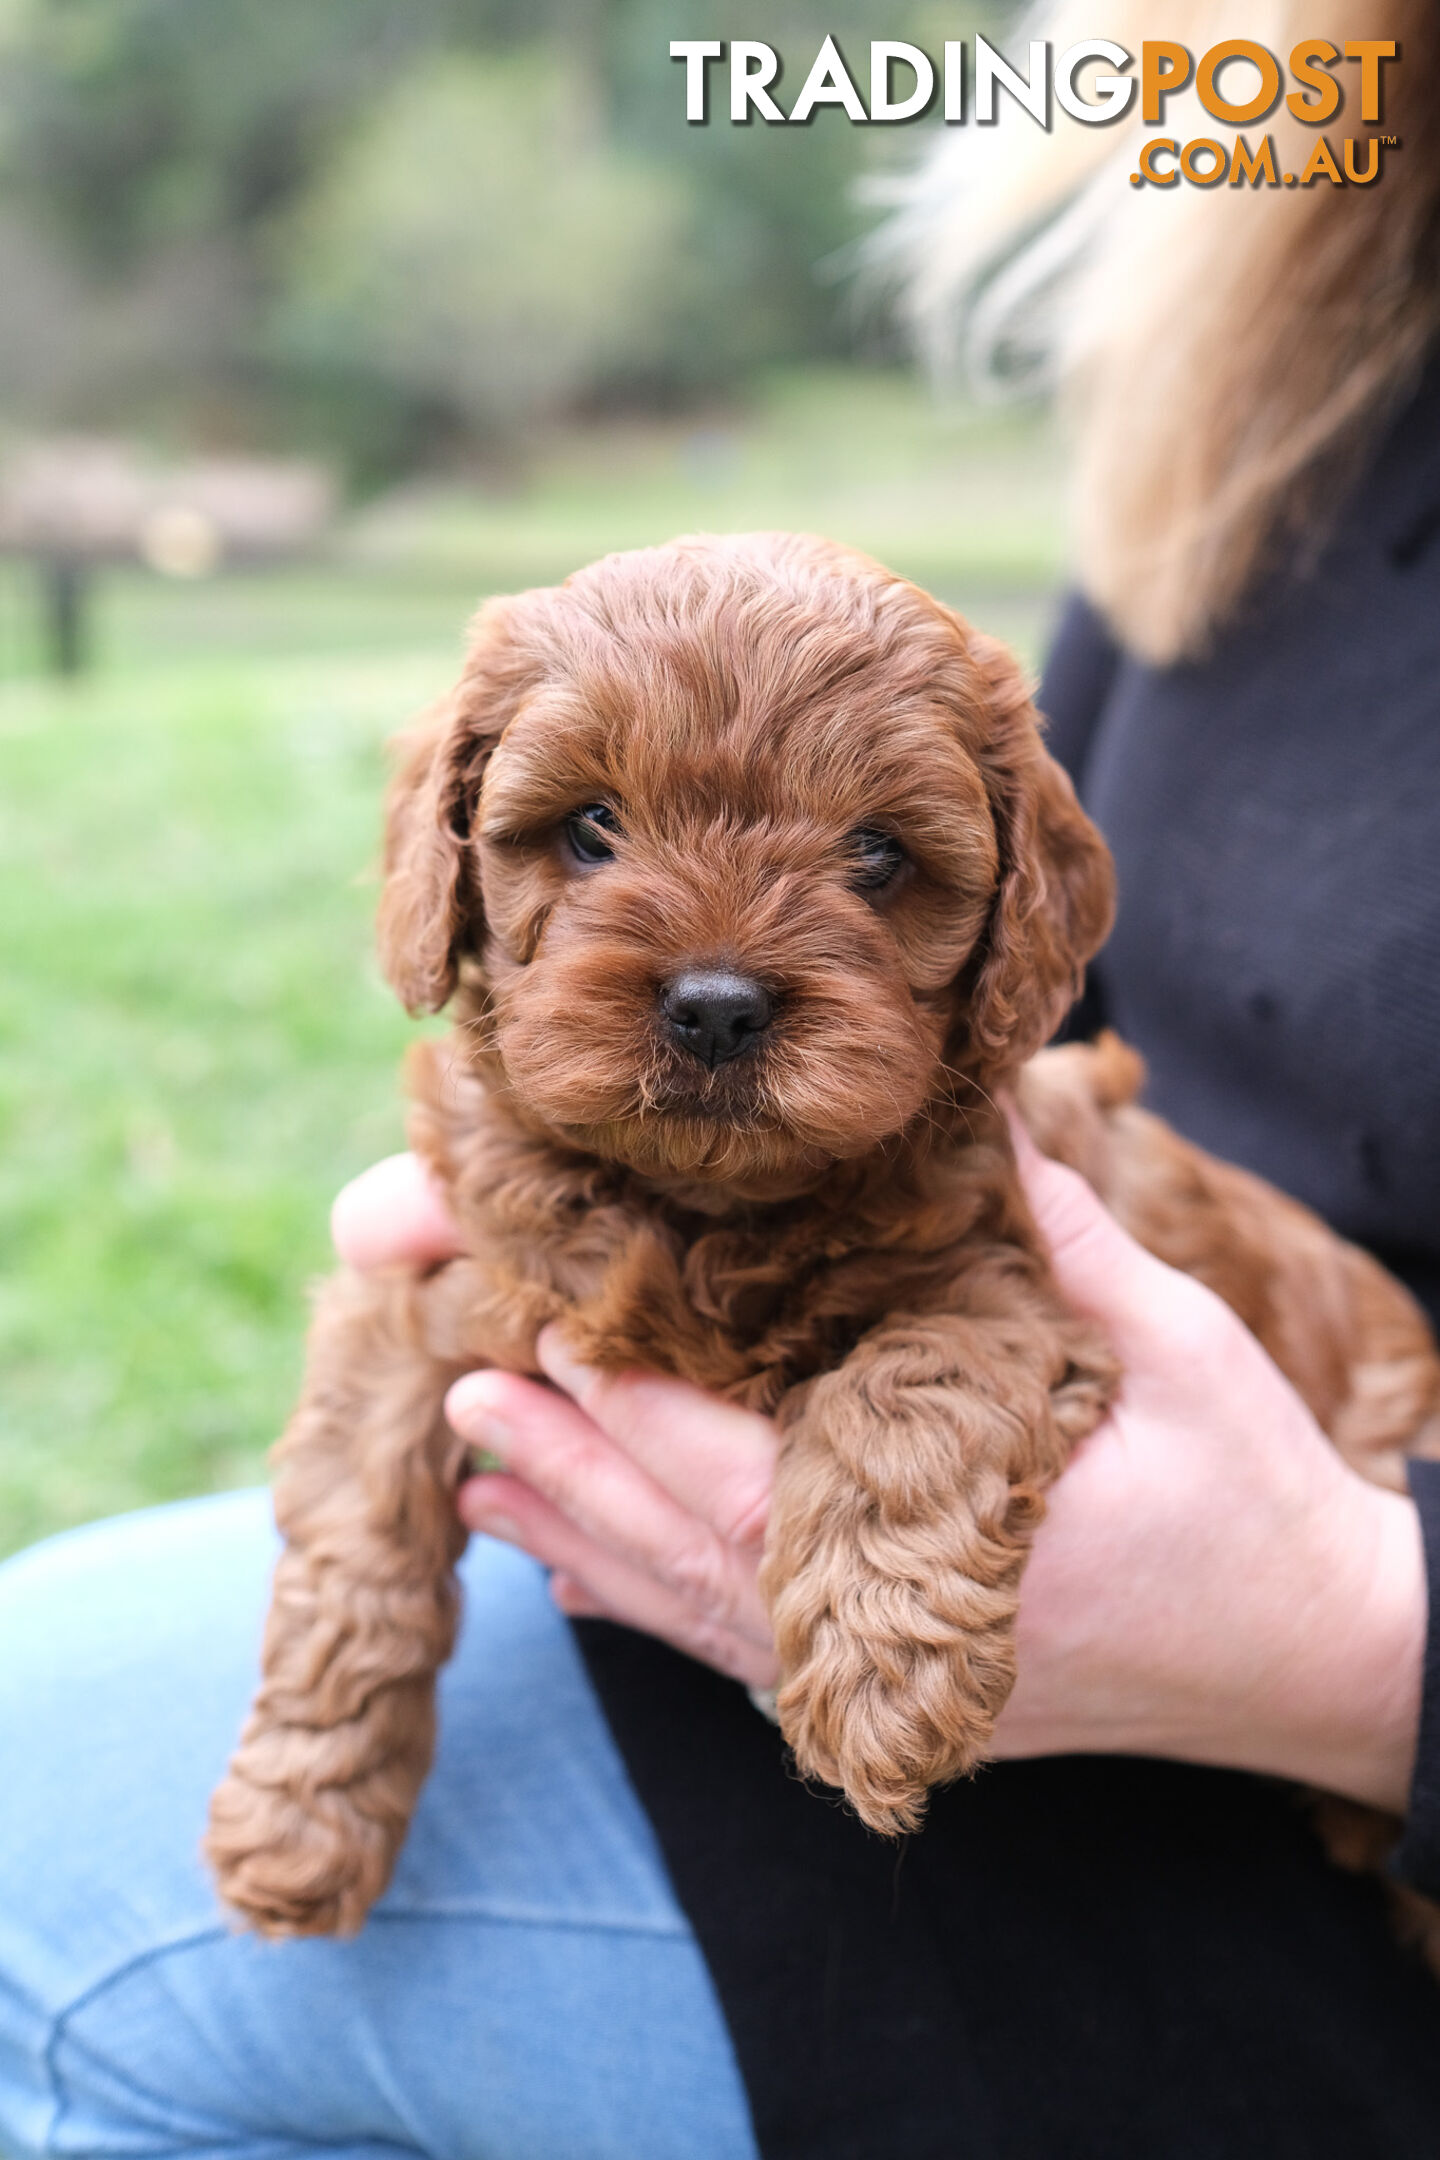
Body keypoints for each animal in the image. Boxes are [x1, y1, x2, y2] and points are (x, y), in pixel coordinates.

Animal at [202, 535, 1440, 1944]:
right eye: (591, 826)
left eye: (878, 851)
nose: (715, 1007)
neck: (702, 1210)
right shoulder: (427, 1292)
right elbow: (356, 1537)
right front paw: (298, 1819)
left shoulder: (1006, 1293)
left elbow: (903, 1401)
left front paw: (884, 1691)